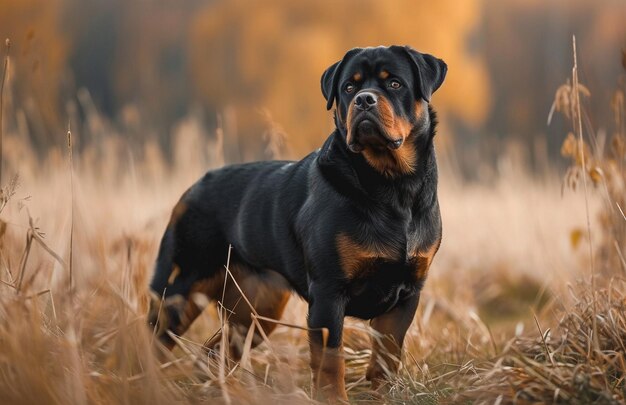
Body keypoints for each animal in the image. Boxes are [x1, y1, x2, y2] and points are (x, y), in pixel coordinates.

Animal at [149, 45, 446, 400]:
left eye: (395, 84)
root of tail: (191, 189)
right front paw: (334, 399)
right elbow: (331, 361)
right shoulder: (329, 294)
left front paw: (384, 395)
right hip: (181, 285)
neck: (392, 186)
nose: (364, 99)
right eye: (349, 87)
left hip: (258, 306)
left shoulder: (407, 294)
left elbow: (387, 357)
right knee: (153, 341)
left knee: (216, 350)